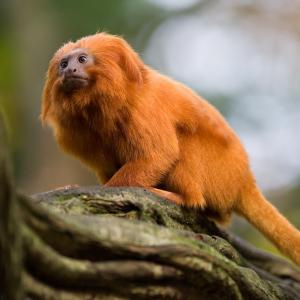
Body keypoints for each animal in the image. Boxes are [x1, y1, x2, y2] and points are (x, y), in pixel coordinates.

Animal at [40, 32, 300, 266]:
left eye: (82, 59)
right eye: (63, 64)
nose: (69, 71)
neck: (102, 104)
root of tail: (244, 180)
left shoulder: (144, 109)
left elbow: (159, 155)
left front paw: (99, 190)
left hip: (220, 173)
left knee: (185, 145)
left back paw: (177, 197)